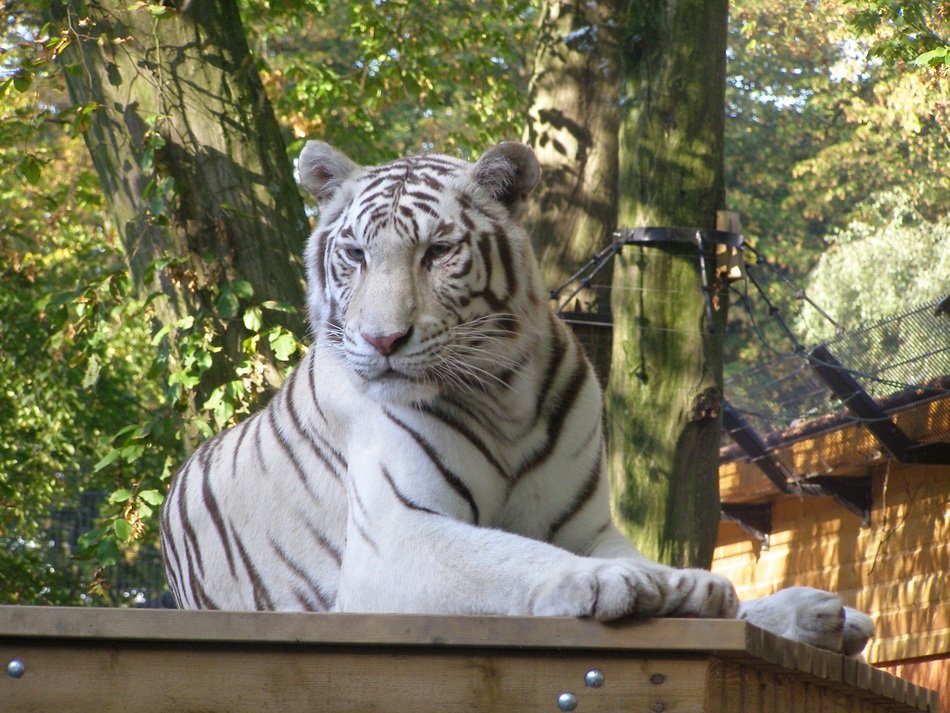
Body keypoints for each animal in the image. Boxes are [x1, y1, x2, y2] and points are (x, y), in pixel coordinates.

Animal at [158, 140, 876, 656]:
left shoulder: (586, 526)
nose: (382, 339)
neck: (502, 393)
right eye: (356, 254)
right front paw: (631, 584)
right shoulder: (395, 532)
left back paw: (821, 613)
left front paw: (685, 585)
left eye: (438, 251)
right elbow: (509, 557)